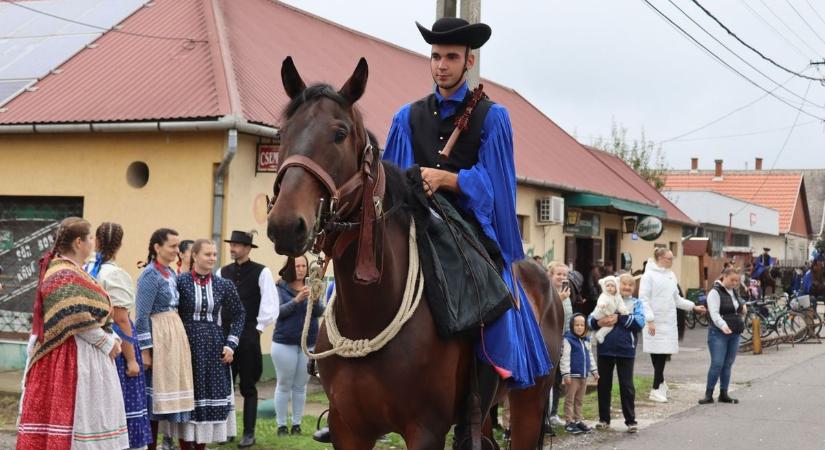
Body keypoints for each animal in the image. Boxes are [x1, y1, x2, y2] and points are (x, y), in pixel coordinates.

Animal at [268, 57, 564, 450]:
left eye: (339, 133)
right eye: (282, 133)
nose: (286, 225)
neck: (371, 310)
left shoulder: (425, 429)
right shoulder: (348, 429)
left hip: (530, 401)